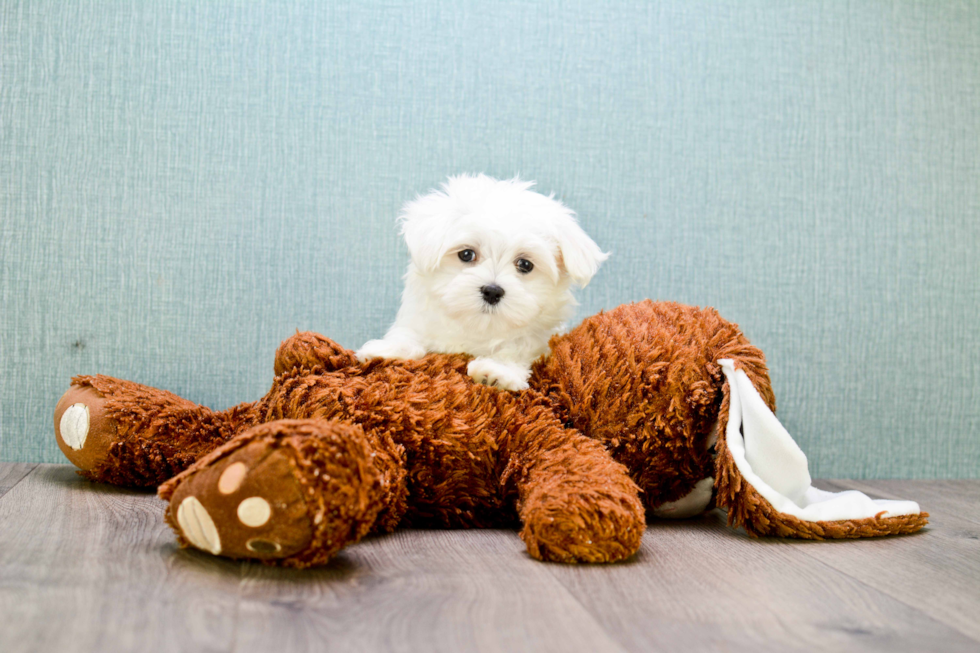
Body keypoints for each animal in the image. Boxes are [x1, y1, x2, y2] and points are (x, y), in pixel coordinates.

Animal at [356, 173, 608, 390]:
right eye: (467, 254)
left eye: (525, 265)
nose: (492, 291)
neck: (478, 329)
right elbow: (409, 334)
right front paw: (387, 349)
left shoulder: (539, 341)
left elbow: (517, 348)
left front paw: (497, 371)